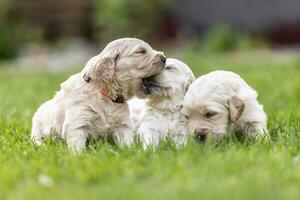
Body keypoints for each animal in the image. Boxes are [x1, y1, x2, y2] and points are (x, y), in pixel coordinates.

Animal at [31, 37, 166, 152]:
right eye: (140, 51)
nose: (164, 58)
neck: (105, 95)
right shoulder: (78, 122)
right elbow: (77, 144)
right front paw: (78, 156)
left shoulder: (123, 124)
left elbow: (126, 140)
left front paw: (131, 152)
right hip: (38, 131)